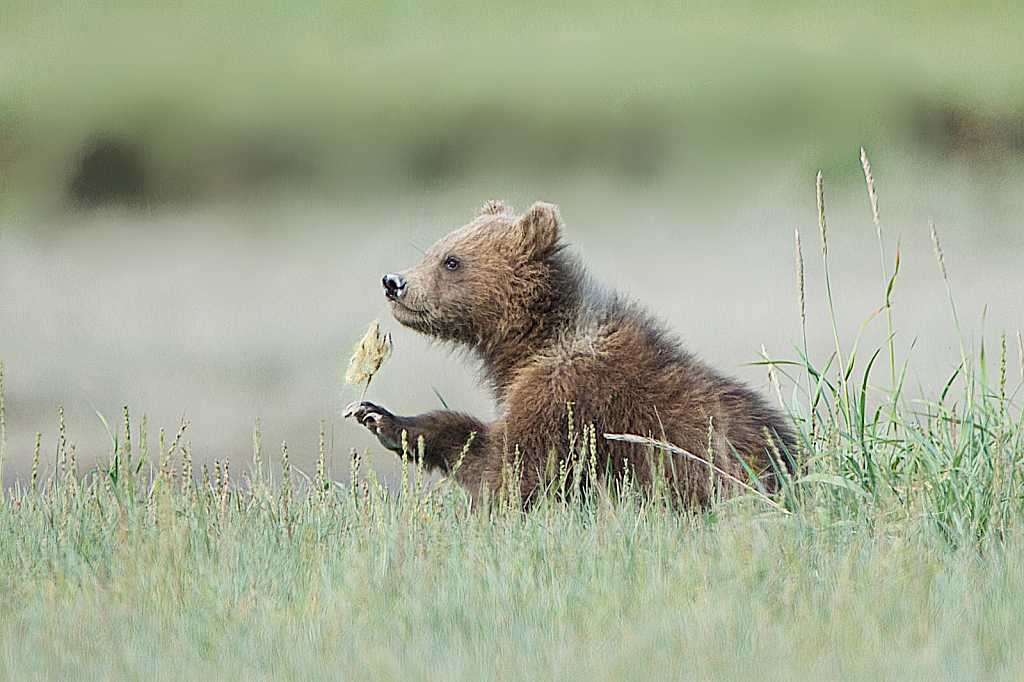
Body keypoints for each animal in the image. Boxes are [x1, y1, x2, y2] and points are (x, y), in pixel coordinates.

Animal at [348, 199, 794, 501]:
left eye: (452, 261)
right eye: (432, 251)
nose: (394, 282)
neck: (535, 339)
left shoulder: (565, 393)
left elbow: (513, 466)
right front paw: (377, 415)